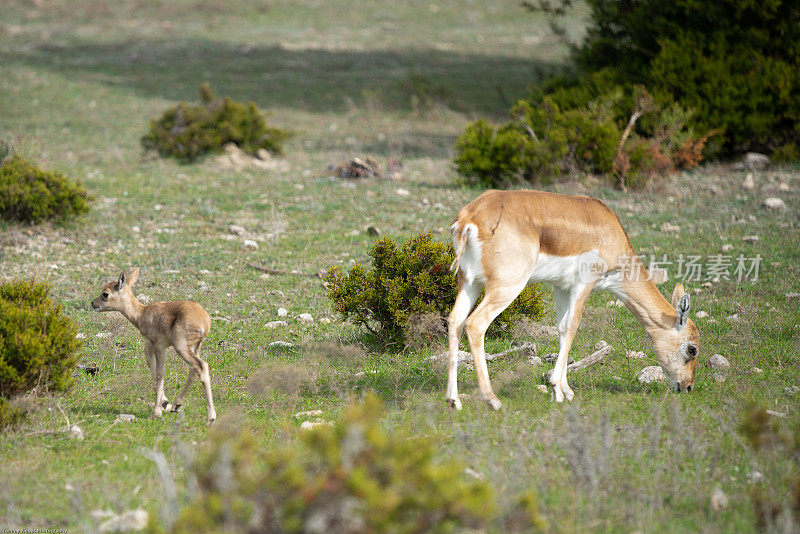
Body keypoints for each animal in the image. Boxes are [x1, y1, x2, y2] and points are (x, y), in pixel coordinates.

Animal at [91, 270, 217, 426]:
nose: (93, 303)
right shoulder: (150, 346)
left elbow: (159, 373)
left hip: (181, 347)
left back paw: (210, 417)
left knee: (201, 366)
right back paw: (177, 405)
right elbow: (153, 369)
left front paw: (157, 411)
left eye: (105, 294)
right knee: (194, 370)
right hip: (194, 347)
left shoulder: (157, 346)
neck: (142, 313)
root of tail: (204, 321)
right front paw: (165, 402)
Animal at [450, 189, 700, 410]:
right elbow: (573, 326)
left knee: (455, 321)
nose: (688, 387)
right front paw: (556, 388)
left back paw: (453, 400)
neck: (607, 229)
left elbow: (561, 328)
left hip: (470, 283)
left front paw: (565, 391)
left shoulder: (560, 286)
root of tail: (470, 216)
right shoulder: (583, 284)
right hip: (507, 287)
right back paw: (492, 400)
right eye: (692, 349)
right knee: (475, 324)